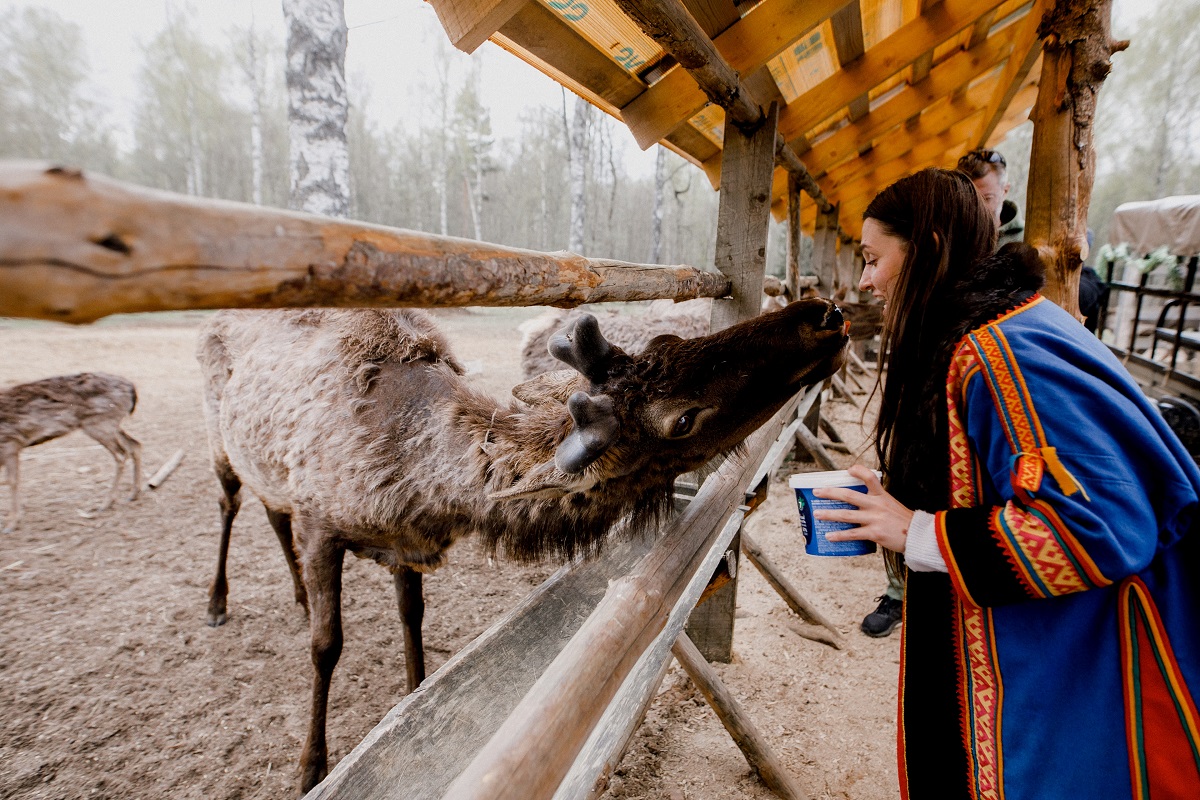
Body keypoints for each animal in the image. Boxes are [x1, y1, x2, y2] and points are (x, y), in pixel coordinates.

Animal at [0, 371, 143, 534]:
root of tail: (131, 388)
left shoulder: (11, 443)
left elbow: (12, 481)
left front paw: (11, 523)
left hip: (100, 423)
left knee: (122, 454)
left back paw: (106, 502)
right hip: (109, 425)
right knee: (135, 445)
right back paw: (133, 494)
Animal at [196, 302, 849, 796]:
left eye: (669, 340)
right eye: (683, 419)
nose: (822, 315)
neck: (414, 482)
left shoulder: (406, 545)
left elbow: (412, 617)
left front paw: (413, 692)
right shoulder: (319, 526)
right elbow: (326, 647)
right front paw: (311, 768)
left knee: (268, 509)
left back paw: (294, 592)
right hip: (221, 445)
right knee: (232, 502)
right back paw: (218, 602)